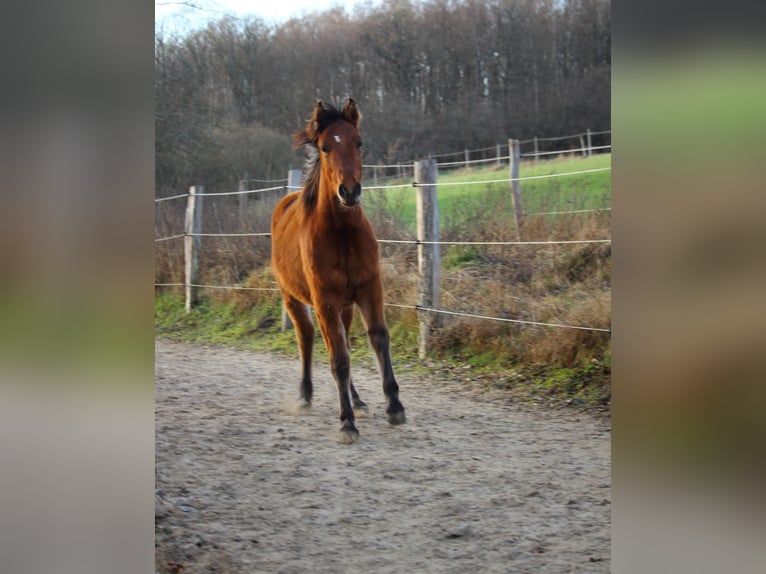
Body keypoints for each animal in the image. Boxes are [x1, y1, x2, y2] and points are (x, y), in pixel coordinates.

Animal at [270, 98, 406, 443]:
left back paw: (357, 401)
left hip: (345, 306)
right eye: (324, 147)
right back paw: (305, 396)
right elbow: (339, 359)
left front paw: (395, 406)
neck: (343, 233)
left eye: (359, 142)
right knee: (307, 338)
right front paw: (346, 423)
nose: (350, 192)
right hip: (294, 298)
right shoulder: (325, 300)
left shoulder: (370, 288)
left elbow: (378, 338)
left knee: (340, 340)